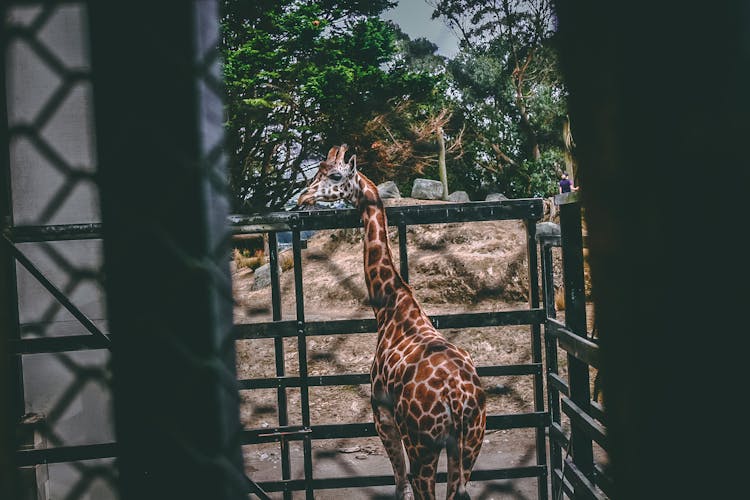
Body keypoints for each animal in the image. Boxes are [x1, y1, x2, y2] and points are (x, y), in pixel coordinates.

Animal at [300, 146, 488, 500]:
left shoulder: (381, 413)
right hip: (471, 442)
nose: (303, 197)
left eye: (335, 175)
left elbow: (399, 484)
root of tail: (459, 399)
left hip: (423, 445)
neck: (390, 305)